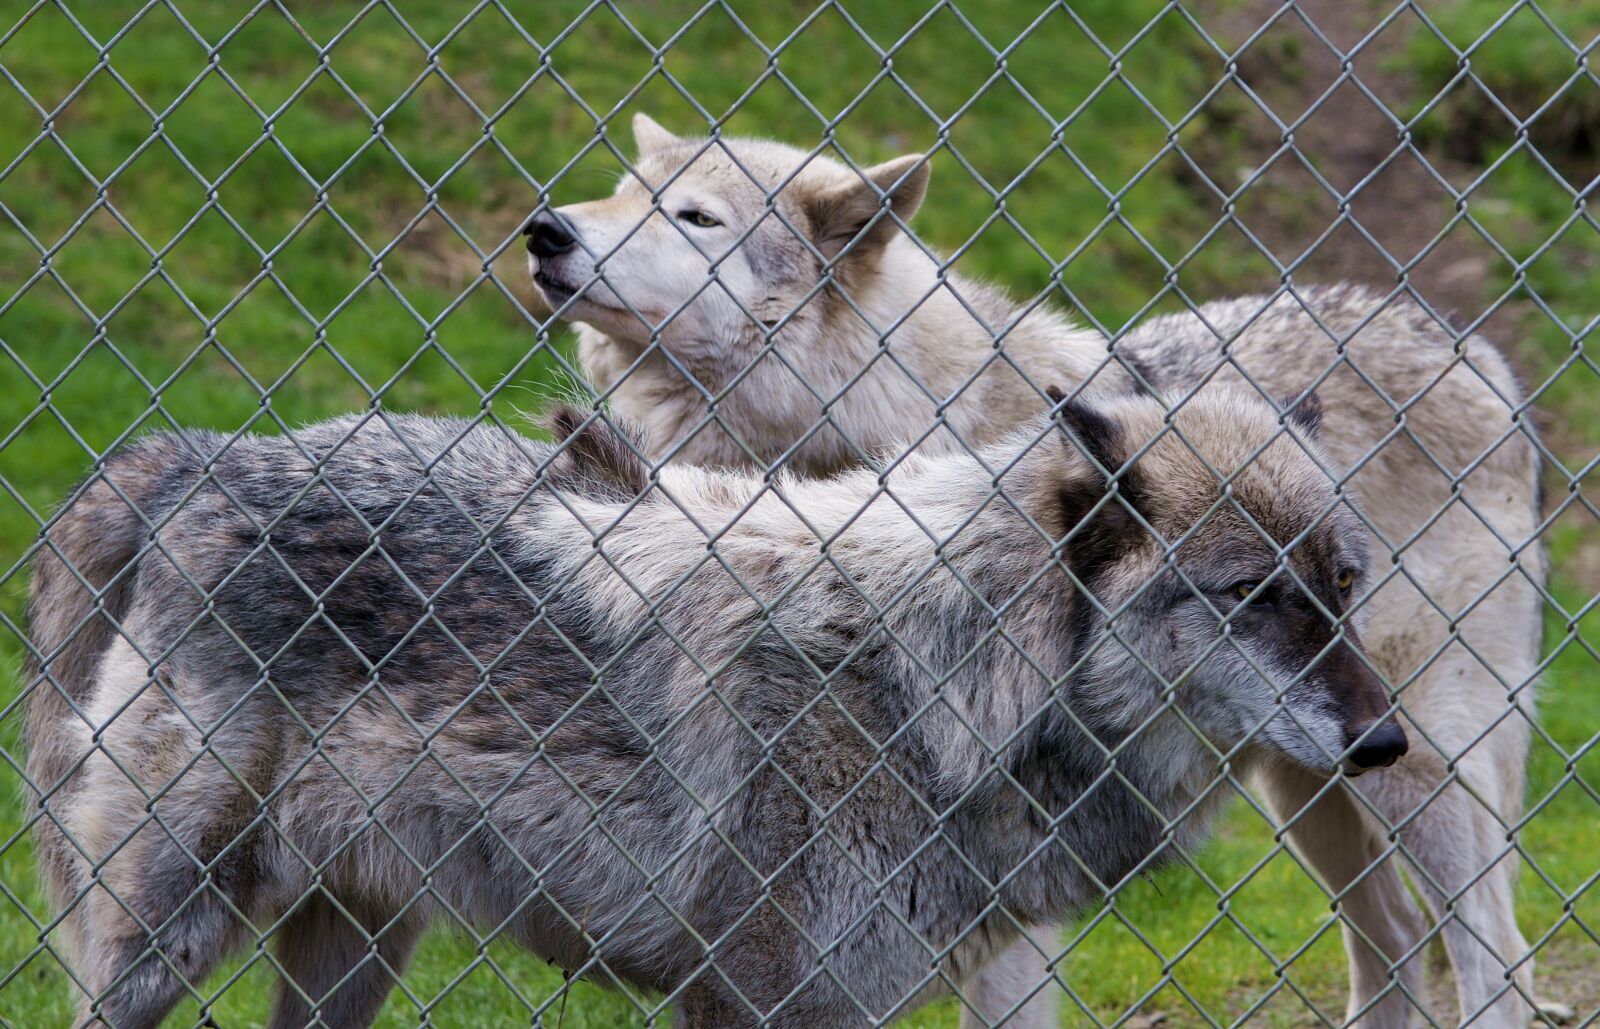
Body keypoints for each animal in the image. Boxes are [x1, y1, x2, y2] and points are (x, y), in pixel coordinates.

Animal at [26, 392, 1406, 1028]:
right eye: (1254, 595)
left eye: (1341, 586)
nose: (1384, 741)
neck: (940, 684)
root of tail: (193, 457)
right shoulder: (747, 998)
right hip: (165, 944)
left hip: (355, 948)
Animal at [526, 114, 1547, 1028]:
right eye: (621, 194)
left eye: (695, 216)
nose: (544, 229)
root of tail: (1469, 347)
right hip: (1309, 782)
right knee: (1398, 942)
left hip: (1411, 763)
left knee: (1495, 958)